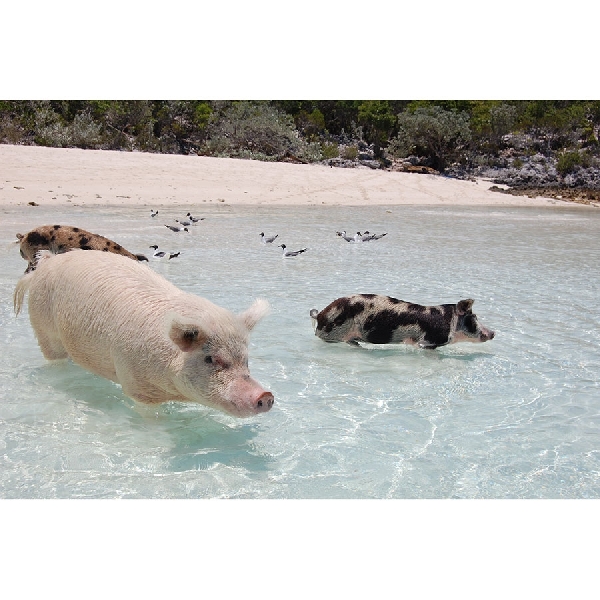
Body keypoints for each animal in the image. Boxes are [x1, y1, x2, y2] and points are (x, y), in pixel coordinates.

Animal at [14, 250, 274, 418]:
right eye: (210, 359)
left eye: (245, 360)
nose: (266, 394)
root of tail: (45, 263)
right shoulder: (135, 384)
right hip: (42, 325)